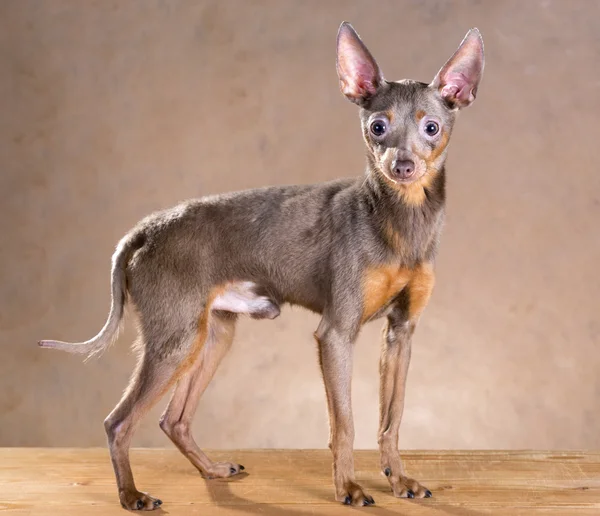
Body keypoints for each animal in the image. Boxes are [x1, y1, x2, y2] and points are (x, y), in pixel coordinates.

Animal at [39, 22, 482, 510]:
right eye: (377, 127)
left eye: (431, 127)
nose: (402, 166)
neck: (399, 219)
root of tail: (146, 229)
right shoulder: (336, 335)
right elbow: (344, 424)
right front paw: (347, 487)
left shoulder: (400, 334)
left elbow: (392, 419)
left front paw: (399, 480)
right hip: (175, 341)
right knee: (118, 422)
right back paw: (131, 495)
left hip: (211, 336)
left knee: (173, 419)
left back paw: (211, 470)